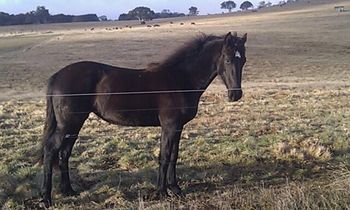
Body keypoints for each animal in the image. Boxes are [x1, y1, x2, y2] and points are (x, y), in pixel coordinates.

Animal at [39, 31, 247, 207]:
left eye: (243, 60)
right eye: (228, 59)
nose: (236, 95)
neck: (180, 79)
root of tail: (56, 76)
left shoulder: (177, 127)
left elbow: (174, 155)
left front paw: (175, 189)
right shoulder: (169, 126)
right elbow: (164, 156)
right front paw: (161, 192)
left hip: (74, 125)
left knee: (64, 153)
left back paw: (68, 191)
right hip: (68, 124)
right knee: (51, 150)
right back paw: (46, 198)